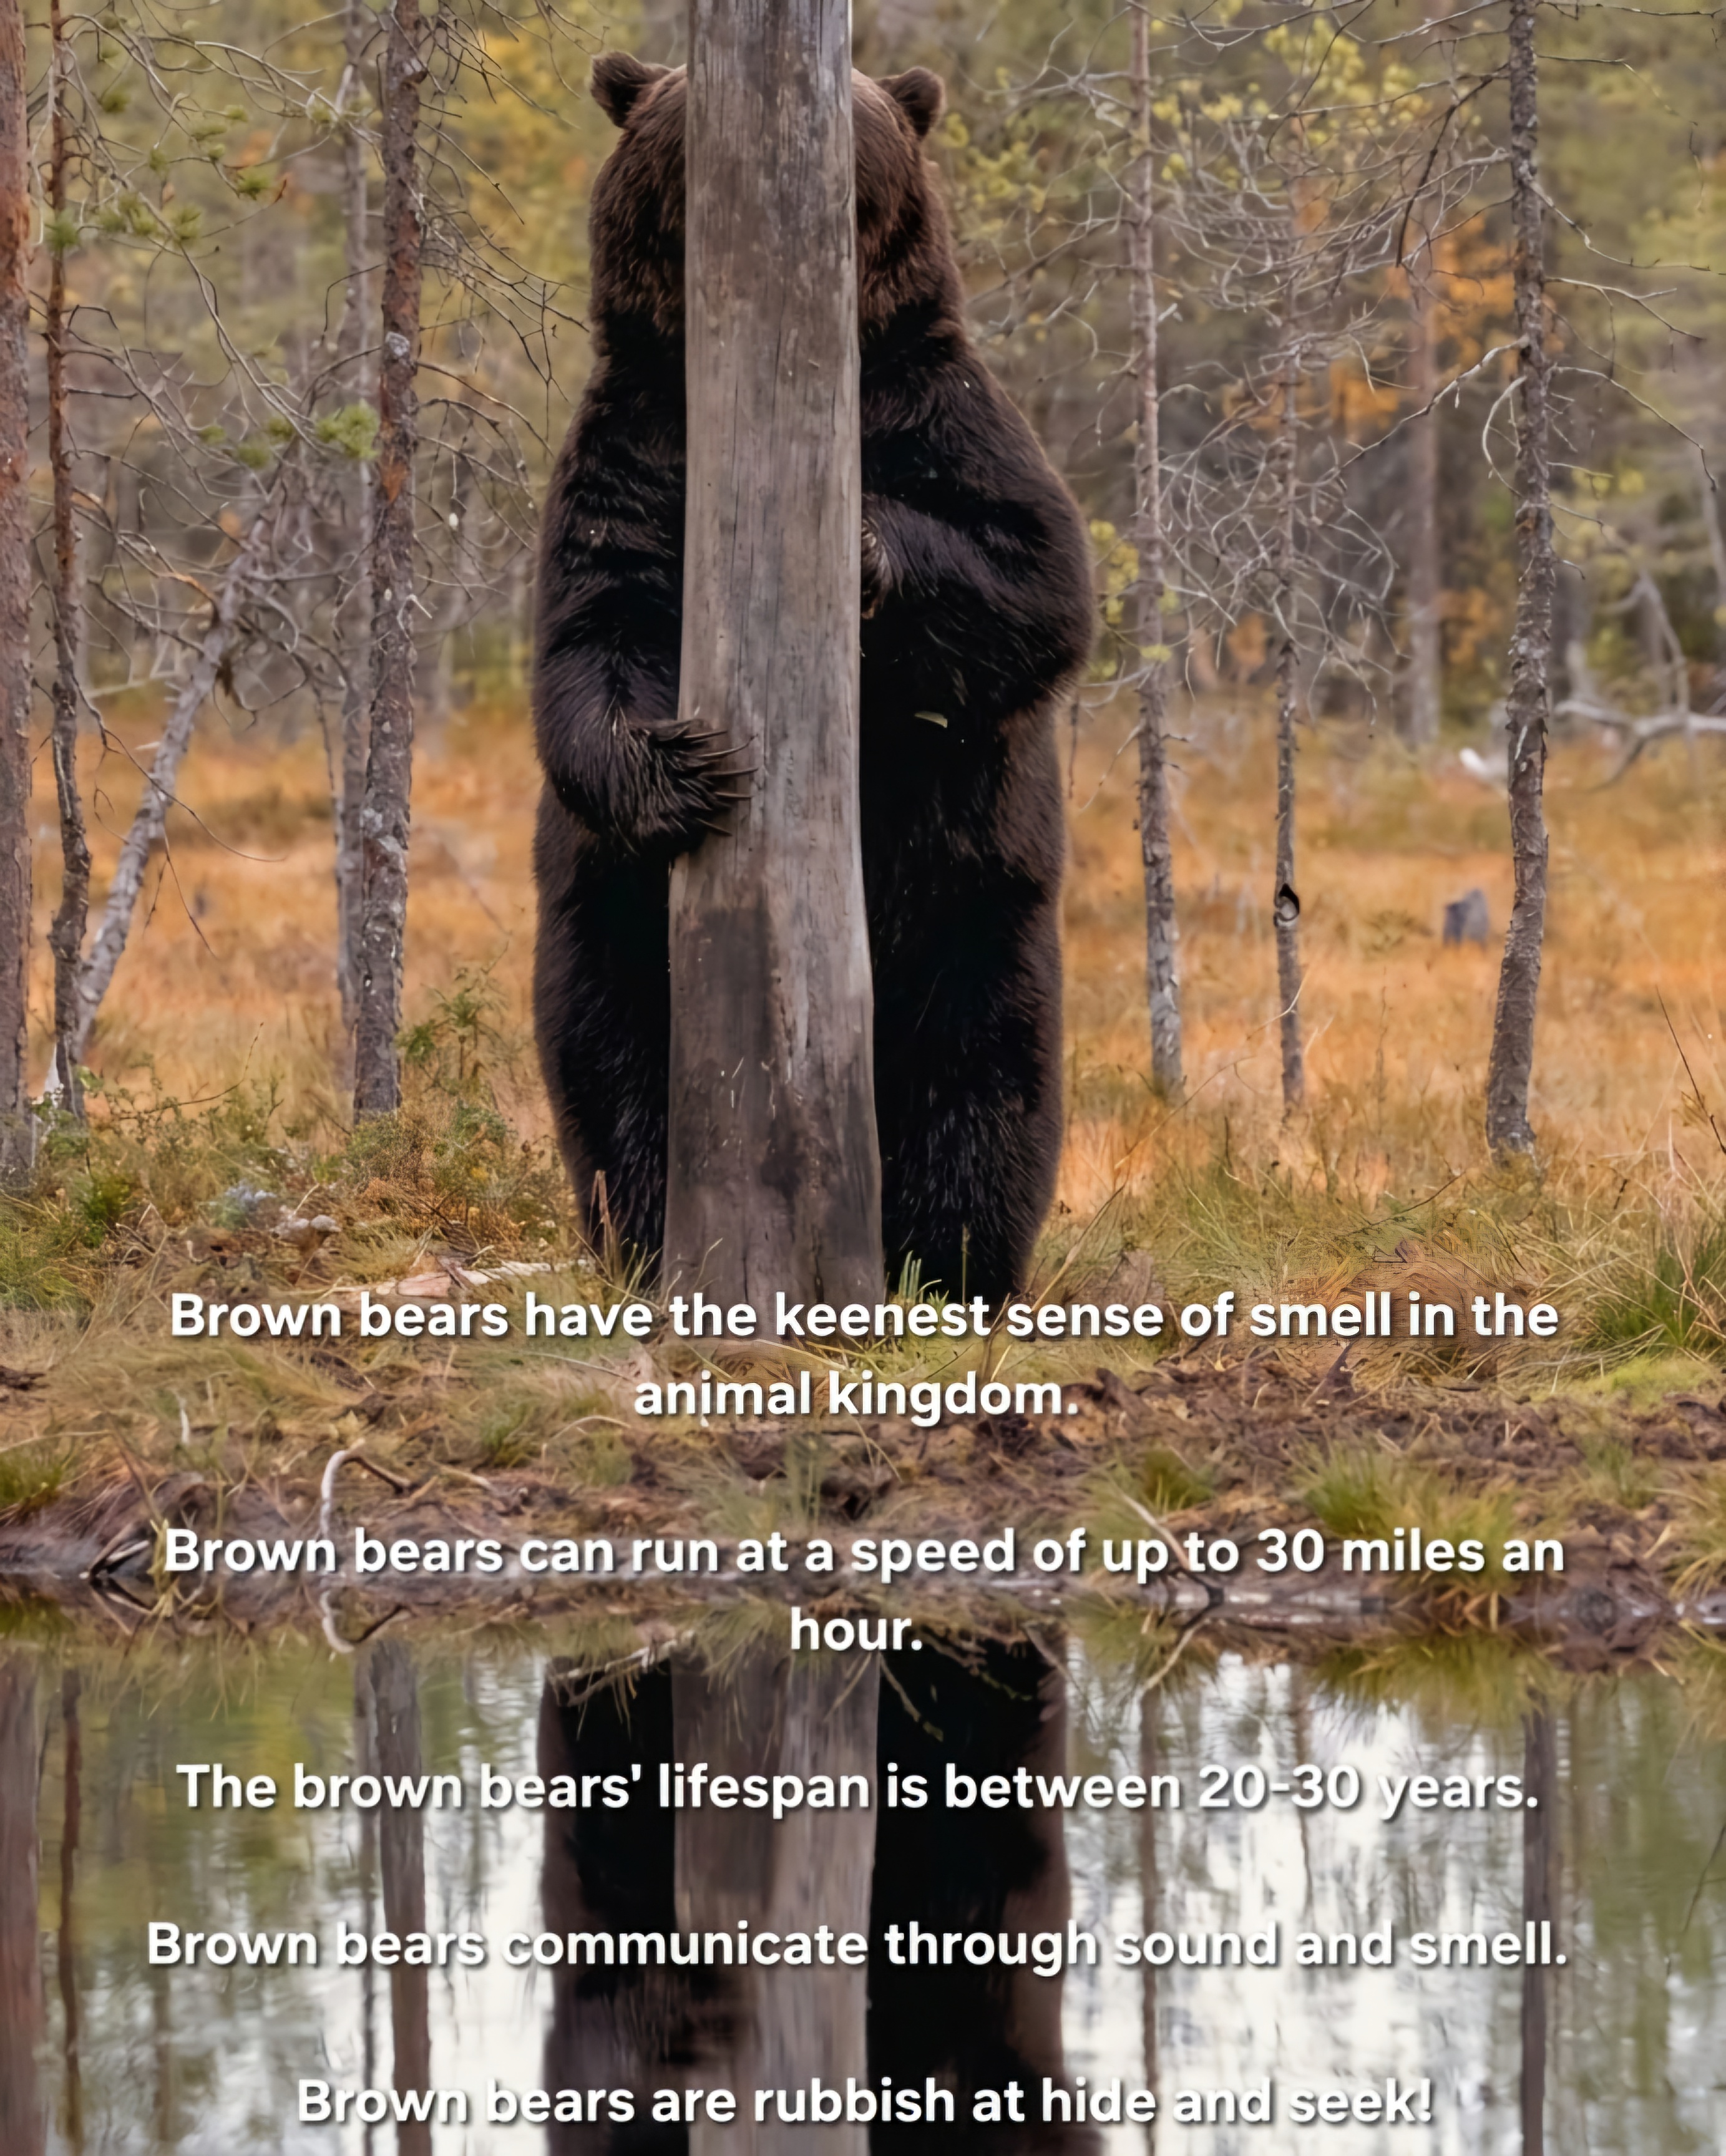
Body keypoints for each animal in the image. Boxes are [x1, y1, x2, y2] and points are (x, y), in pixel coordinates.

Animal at [532, 52, 1094, 1305]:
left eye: (860, 118)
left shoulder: (941, 410)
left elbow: (1034, 576)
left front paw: (867, 544)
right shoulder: (634, 450)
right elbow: (591, 635)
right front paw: (686, 766)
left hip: (973, 917)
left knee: (980, 1086)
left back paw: (950, 1262)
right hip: (611, 932)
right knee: (614, 1071)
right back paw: (649, 1239)